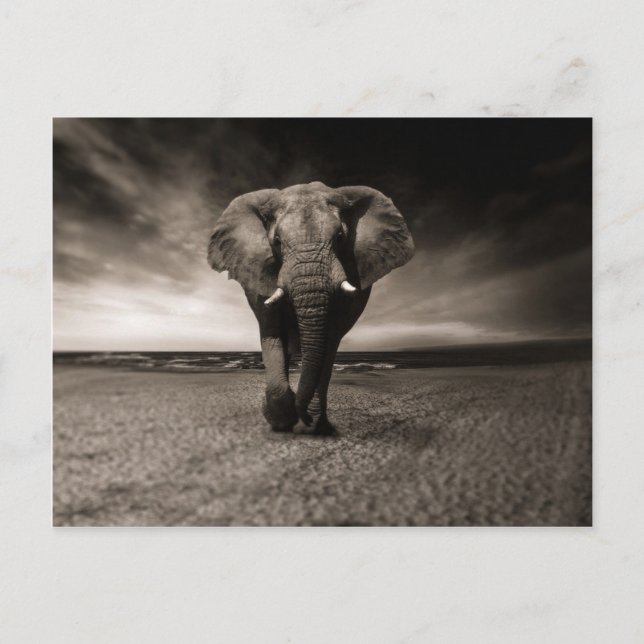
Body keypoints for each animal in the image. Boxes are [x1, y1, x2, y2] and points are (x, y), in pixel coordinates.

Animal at [207, 181, 414, 434]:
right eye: (276, 241)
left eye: (340, 237)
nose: (303, 416)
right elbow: (272, 332)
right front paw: (280, 419)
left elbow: (329, 340)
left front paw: (310, 422)